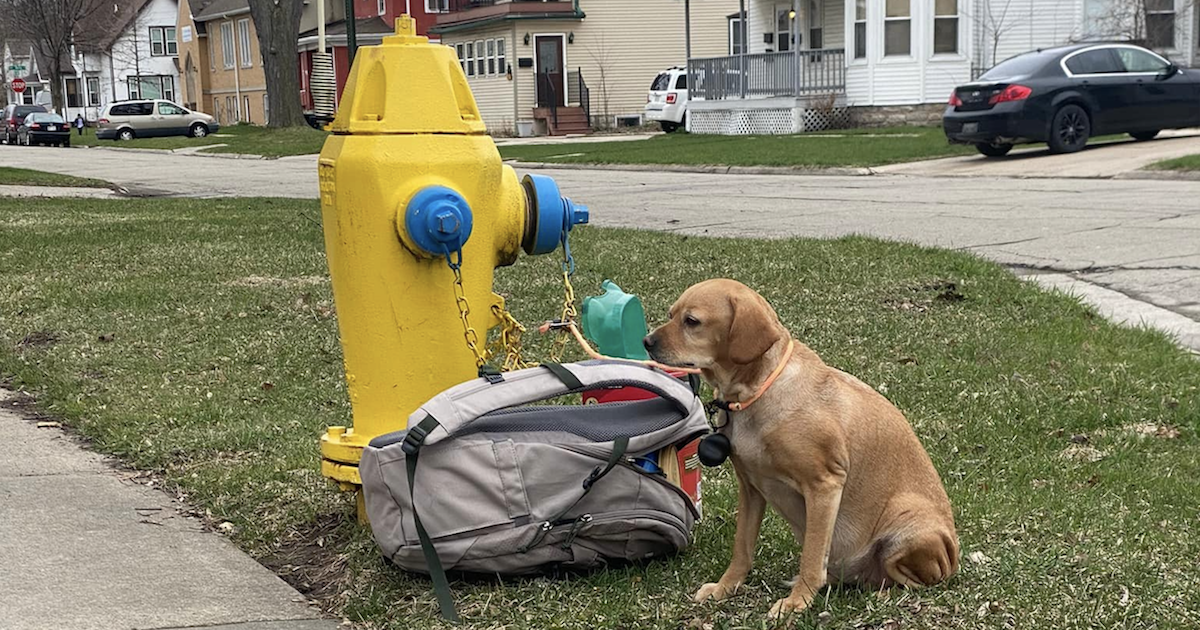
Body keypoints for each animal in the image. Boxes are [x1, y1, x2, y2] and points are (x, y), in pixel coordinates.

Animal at [643, 277, 960, 614]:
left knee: (913, 580)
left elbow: (811, 556)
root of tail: (953, 557)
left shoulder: (824, 485)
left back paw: (882, 593)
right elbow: (742, 548)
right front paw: (725, 588)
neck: (757, 391)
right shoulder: (751, 488)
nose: (646, 341)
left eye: (692, 321)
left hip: (908, 527)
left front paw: (797, 602)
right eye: (671, 314)